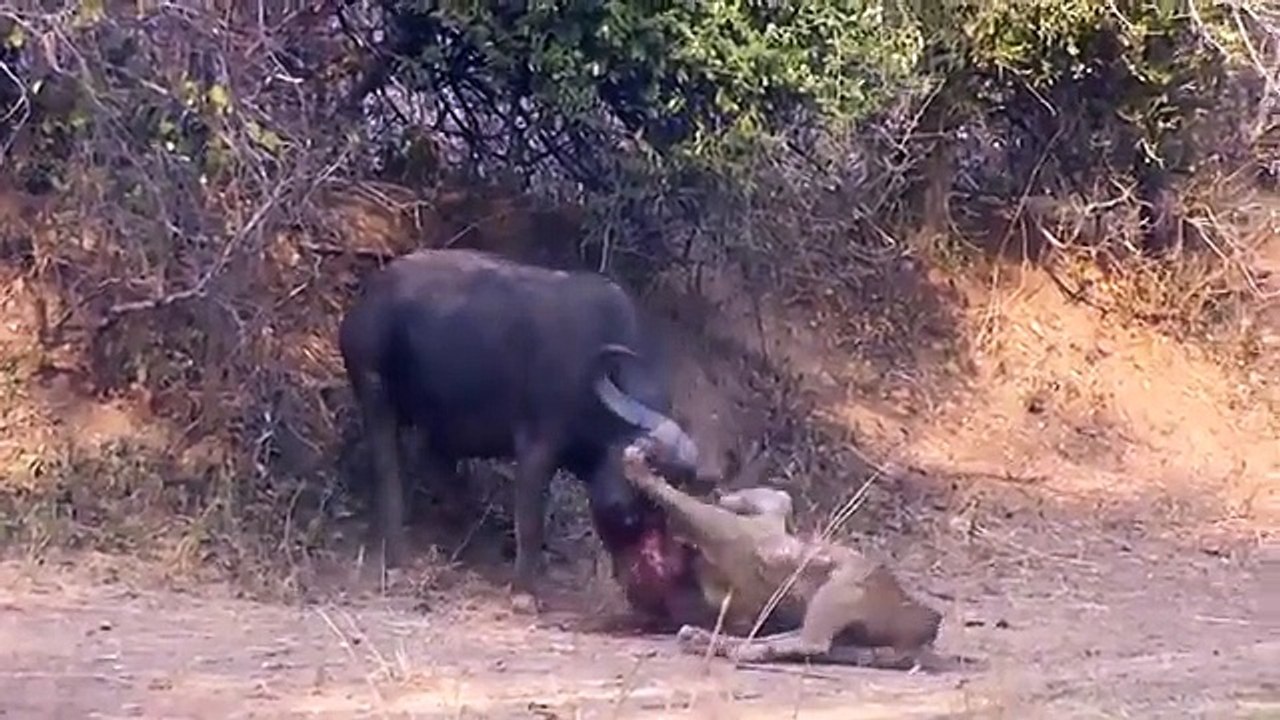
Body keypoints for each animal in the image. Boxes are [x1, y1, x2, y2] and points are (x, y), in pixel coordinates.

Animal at [338, 248, 702, 607]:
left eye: (664, 502)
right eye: (633, 503)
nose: (651, 571)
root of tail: (367, 298)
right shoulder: (536, 448)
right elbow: (530, 520)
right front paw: (524, 589)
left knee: (433, 466)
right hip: (375, 391)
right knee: (388, 469)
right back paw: (397, 555)